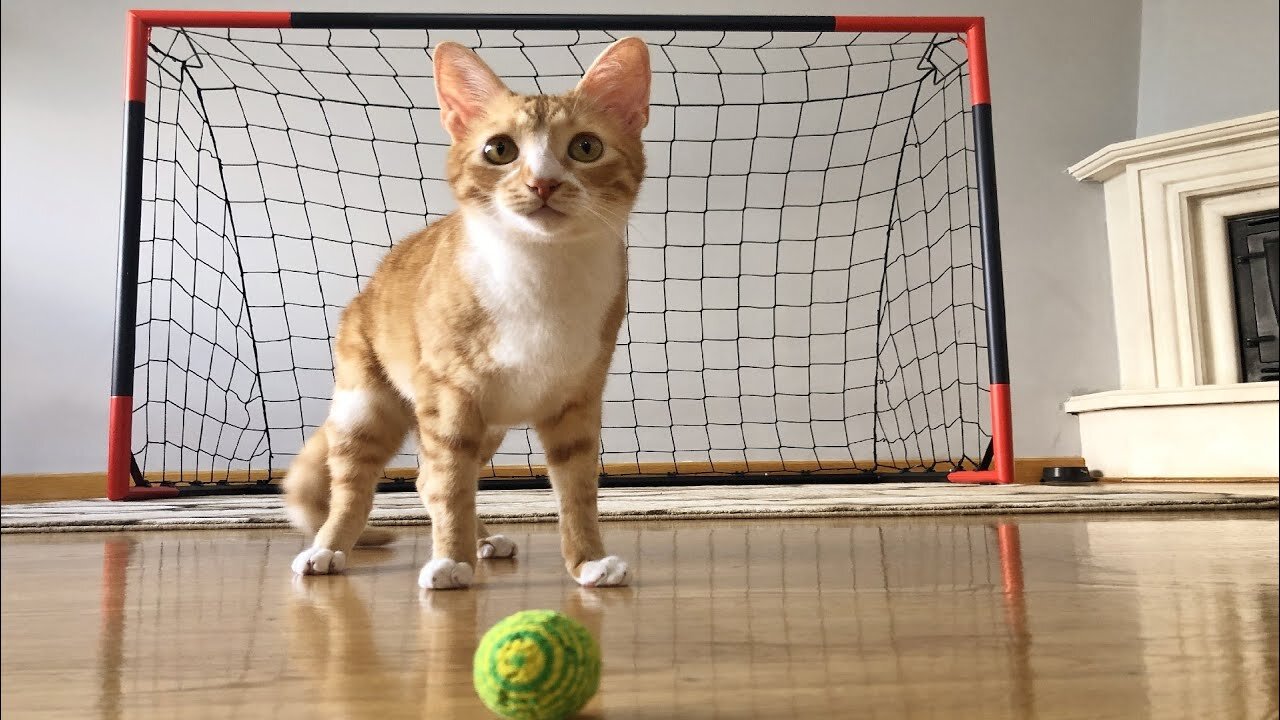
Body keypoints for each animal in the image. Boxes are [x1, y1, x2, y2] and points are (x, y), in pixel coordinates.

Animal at [279, 37, 645, 589]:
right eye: (500, 150)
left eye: (586, 147)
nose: (542, 184)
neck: (540, 275)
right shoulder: (451, 396)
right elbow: (452, 484)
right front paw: (451, 560)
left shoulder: (578, 399)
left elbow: (577, 490)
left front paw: (587, 559)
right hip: (366, 402)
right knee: (362, 484)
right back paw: (329, 547)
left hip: (488, 426)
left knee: (426, 477)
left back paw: (485, 539)